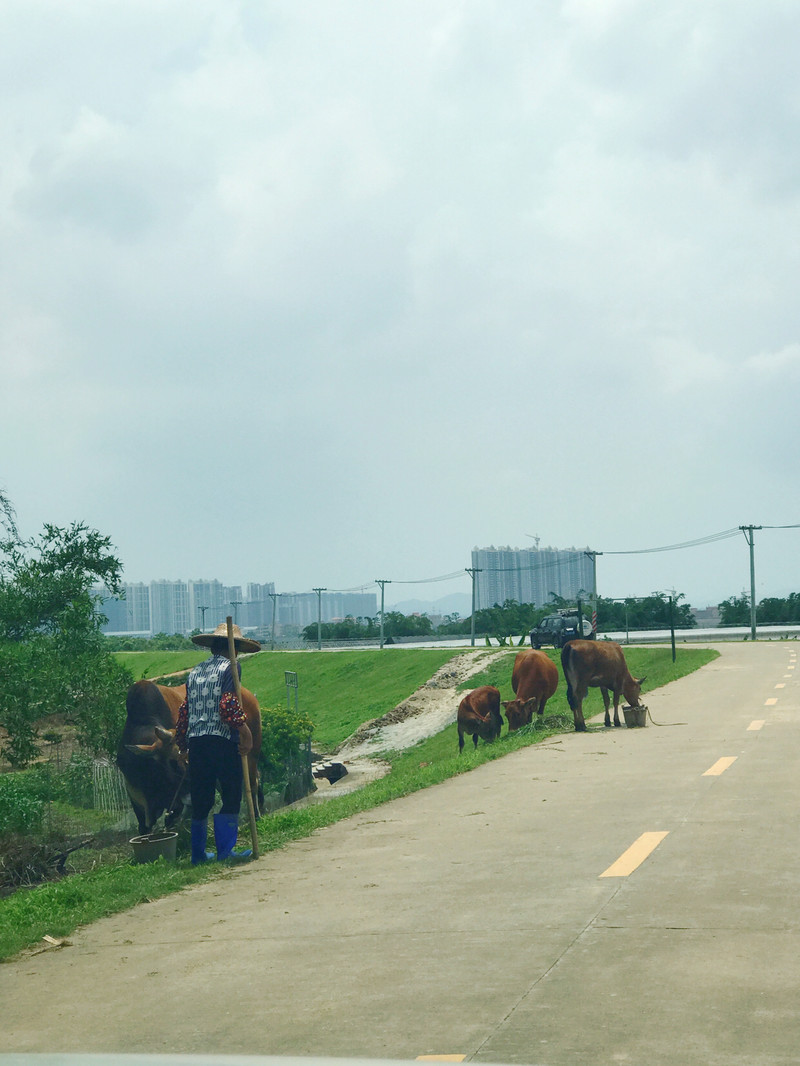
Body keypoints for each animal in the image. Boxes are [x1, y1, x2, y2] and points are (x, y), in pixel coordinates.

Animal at [118, 682, 266, 831]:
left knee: (252, 782)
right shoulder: (137, 800)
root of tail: (247, 694)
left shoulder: (177, 804)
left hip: (251, 755)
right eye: (172, 762)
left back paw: (256, 815)